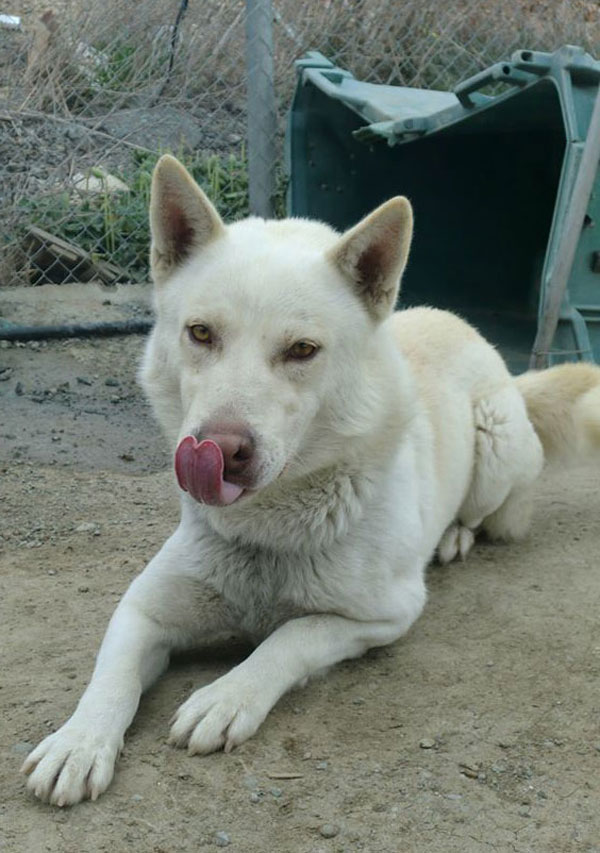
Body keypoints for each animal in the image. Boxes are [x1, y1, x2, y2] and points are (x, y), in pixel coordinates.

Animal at [22, 155, 600, 804]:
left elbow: (289, 638)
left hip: (497, 448)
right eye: (201, 333)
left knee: (485, 512)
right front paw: (77, 742)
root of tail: (461, 325)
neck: (267, 529)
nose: (219, 450)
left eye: (301, 349)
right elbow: (110, 679)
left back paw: (454, 535)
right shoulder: (141, 610)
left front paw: (227, 696)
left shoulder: (383, 617)